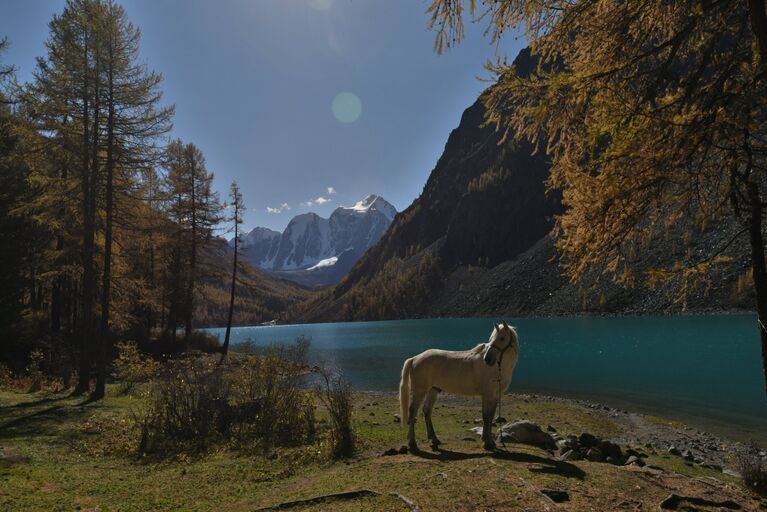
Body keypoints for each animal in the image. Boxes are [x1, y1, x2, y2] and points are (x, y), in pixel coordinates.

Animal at [400, 322, 520, 450]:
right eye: (491, 338)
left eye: (502, 338)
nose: (487, 359)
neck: (496, 368)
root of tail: (414, 358)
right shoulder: (487, 395)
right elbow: (486, 416)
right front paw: (488, 443)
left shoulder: (495, 396)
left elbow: (490, 416)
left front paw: (488, 440)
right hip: (420, 391)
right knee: (413, 411)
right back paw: (412, 442)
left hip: (433, 390)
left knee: (427, 410)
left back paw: (434, 439)